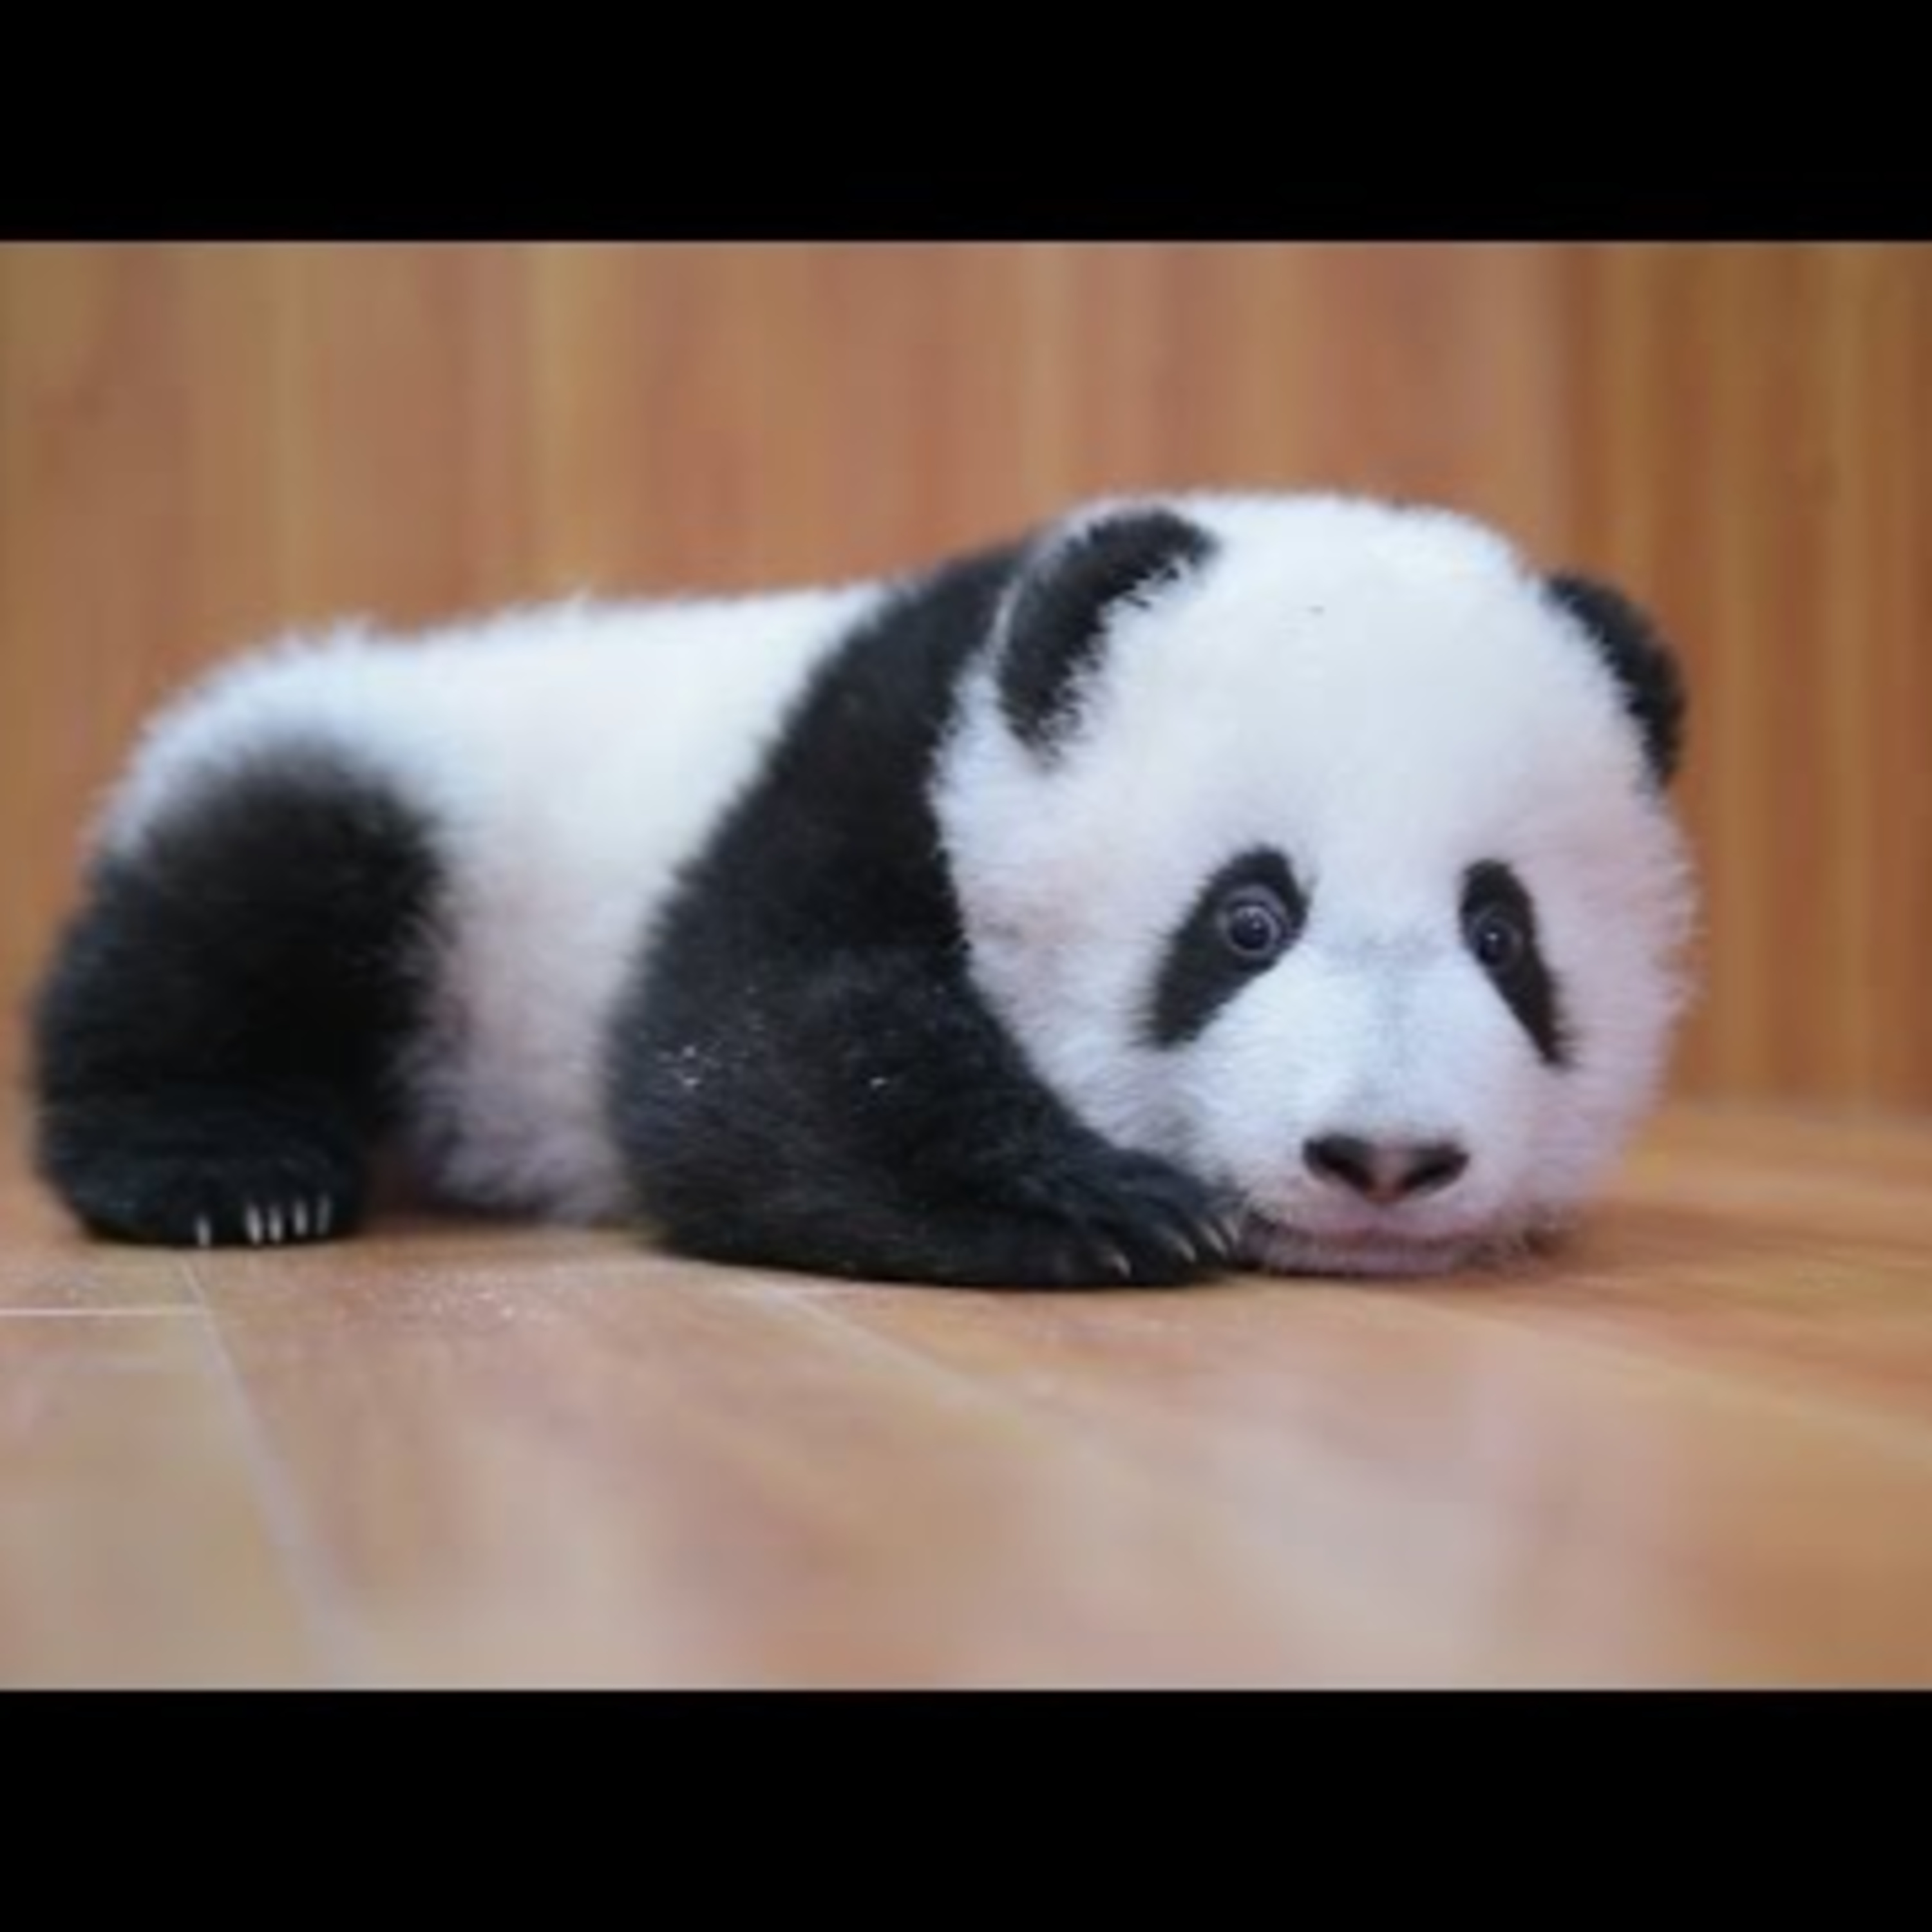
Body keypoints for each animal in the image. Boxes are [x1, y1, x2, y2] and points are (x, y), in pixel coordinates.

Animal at [26, 490, 1696, 1287]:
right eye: (1246, 919)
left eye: (1503, 933)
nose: (1383, 1158)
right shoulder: (884, 750)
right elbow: (743, 1047)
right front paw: (1096, 1204)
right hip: (403, 792)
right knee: (236, 918)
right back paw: (229, 1171)